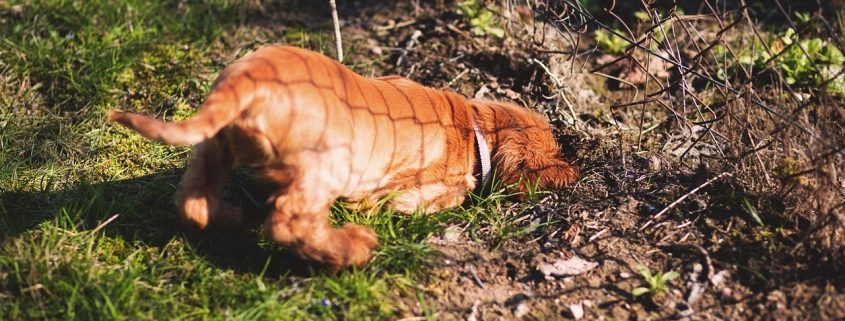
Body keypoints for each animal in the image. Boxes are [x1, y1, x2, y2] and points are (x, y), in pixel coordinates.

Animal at [109, 45, 576, 268]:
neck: (474, 126)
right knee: (288, 222)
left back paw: (234, 219)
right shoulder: (424, 191)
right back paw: (352, 248)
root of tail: (249, 79)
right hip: (323, 166)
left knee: (193, 199)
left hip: (215, 146)